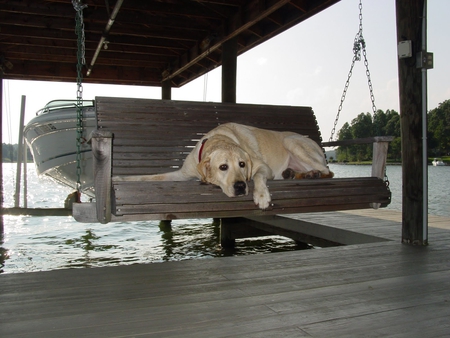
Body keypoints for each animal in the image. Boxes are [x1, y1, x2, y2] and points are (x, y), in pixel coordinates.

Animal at [115, 123, 334, 210]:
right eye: (223, 167)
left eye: (242, 164)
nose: (240, 187)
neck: (220, 139)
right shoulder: (182, 174)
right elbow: (151, 176)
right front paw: (118, 178)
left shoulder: (263, 168)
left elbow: (258, 177)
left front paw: (261, 196)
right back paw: (295, 173)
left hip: (292, 141)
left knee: (328, 171)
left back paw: (311, 174)